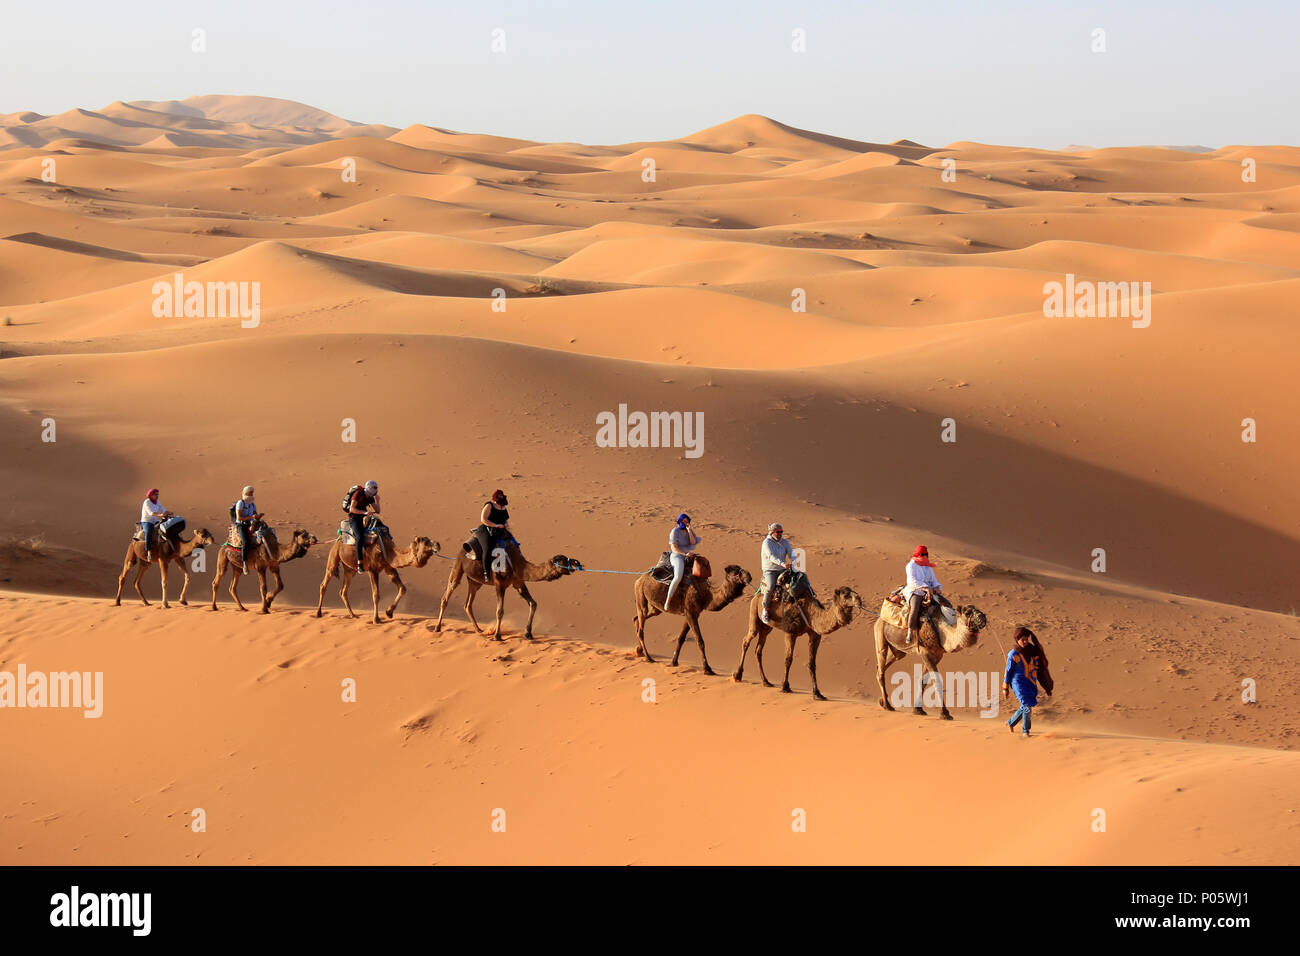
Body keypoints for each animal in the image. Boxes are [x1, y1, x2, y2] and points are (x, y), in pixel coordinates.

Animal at [434, 541, 582, 639]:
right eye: (563, 560)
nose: (577, 563)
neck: (516, 564)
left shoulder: (518, 583)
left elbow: (533, 603)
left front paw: (528, 633)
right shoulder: (500, 584)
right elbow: (500, 611)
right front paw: (497, 636)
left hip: (475, 581)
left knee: (468, 604)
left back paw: (479, 630)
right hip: (458, 567)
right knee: (447, 595)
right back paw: (437, 627)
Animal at [738, 582, 868, 702]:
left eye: (853, 591)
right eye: (846, 594)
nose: (859, 600)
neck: (810, 613)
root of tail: (758, 593)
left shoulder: (815, 635)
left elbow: (812, 663)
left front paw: (817, 693)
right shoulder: (790, 633)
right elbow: (788, 659)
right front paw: (785, 687)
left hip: (767, 627)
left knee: (758, 650)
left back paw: (766, 681)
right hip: (754, 613)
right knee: (746, 640)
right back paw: (738, 675)